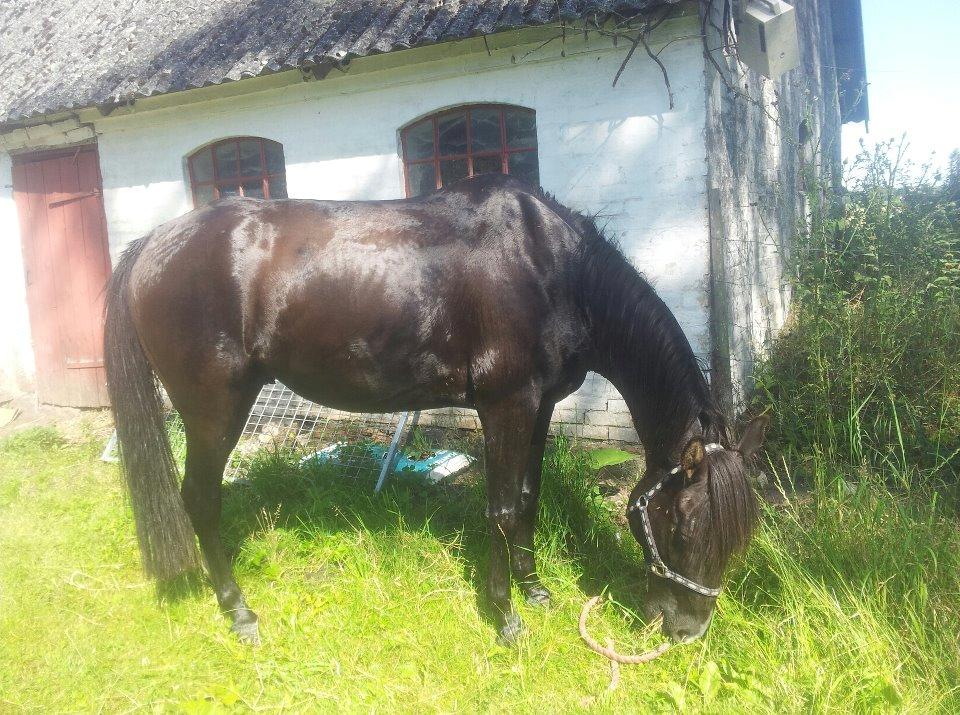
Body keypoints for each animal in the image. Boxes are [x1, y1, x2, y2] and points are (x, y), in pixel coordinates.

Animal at [104, 173, 767, 646]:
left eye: (741, 537)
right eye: (682, 527)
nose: (687, 632)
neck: (549, 267)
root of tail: (152, 244)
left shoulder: (539, 407)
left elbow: (528, 497)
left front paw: (535, 591)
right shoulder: (505, 406)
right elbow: (501, 509)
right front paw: (506, 618)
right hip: (214, 411)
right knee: (200, 501)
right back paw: (240, 613)